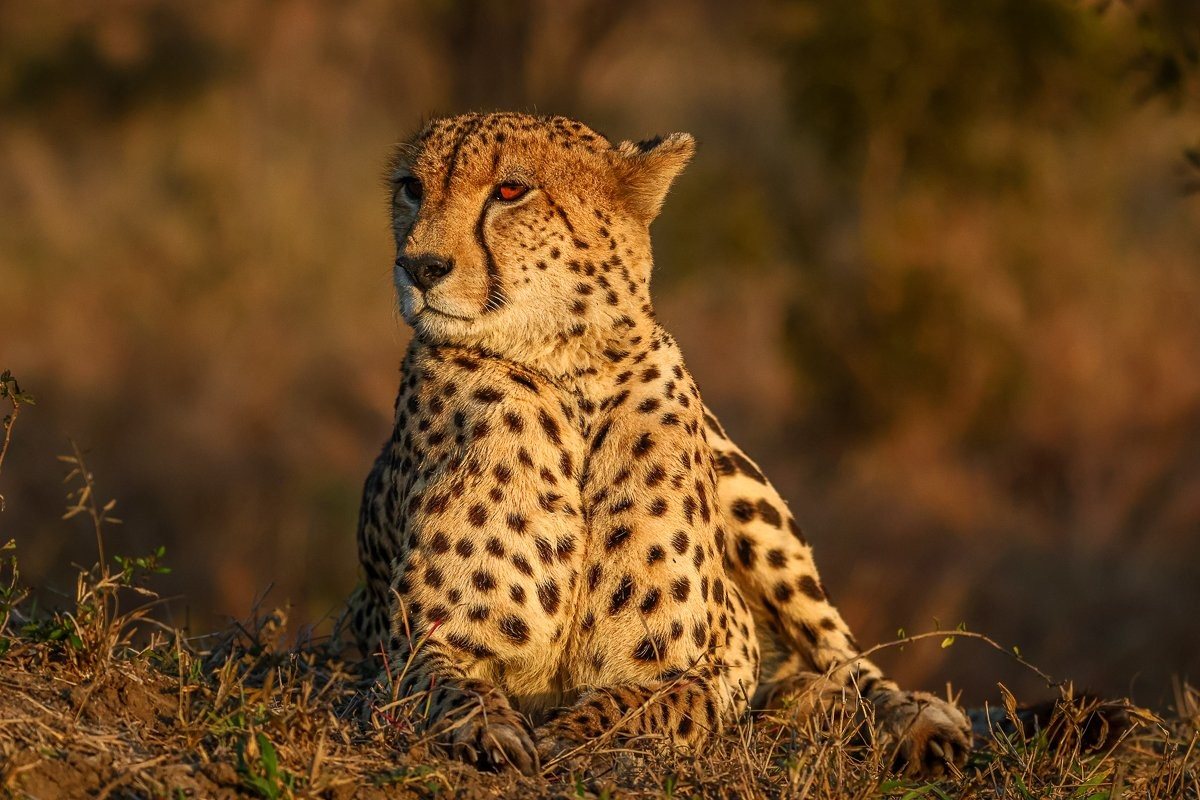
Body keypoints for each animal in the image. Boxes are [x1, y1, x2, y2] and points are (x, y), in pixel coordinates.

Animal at [349, 111, 972, 777]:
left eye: (511, 190)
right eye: (412, 187)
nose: (419, 266)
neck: (568, 372)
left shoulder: (701, 666)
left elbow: (635, 706)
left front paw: (569, 739)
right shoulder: (415, 647)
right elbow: (453, 688)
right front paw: (492, 732)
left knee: (844, 658)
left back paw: (917, 719)